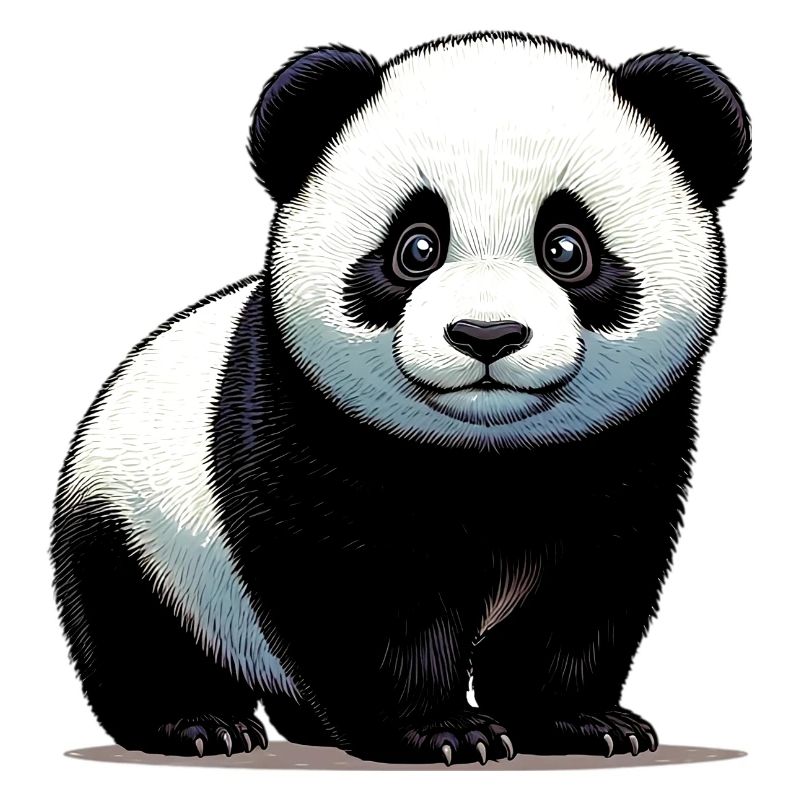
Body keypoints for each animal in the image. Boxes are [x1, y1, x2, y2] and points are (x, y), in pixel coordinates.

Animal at [51, 32, 751, 766]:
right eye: (416, 247)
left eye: (566, 248)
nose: (486, 334)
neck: (492, 451)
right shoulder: (309, 426)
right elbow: (363, 592)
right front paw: (447, 731)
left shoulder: (624, 445)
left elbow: (587, 584)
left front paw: (583, 720)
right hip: (139, 526)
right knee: (136, 627)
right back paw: (199, 722)